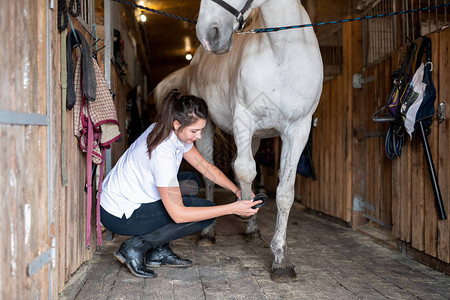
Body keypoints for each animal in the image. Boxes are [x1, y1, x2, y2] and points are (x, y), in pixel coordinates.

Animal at [153, 0, 322, 282]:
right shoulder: (244, 118)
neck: (282, 55)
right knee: (211, 174)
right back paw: (208, 233)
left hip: (254, 138)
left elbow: (284, 191)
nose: (208, 34)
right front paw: (245, 207)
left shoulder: (298, 129)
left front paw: (281, 260)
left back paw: (251, 229)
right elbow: (243, 171)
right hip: (207, 130)